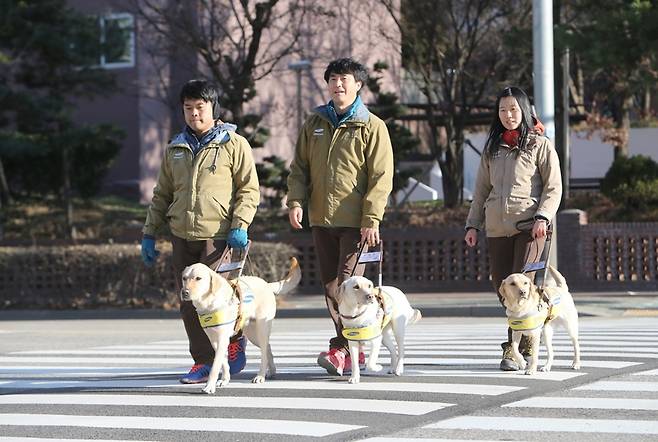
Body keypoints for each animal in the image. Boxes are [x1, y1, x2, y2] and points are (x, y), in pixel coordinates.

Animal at [181, 258, 302, 392]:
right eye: (184, 278)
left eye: (198, 278)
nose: (184, 292)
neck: (208, 303)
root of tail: (266, 283)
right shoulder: (214, 340)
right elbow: (224, 363)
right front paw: (225, 380)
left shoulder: (222, 339)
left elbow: (215, 366)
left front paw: (209, 386)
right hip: (253, 334)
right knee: (268, 348)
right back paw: (272, 371)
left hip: (261, 329)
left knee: (264, 353)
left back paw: (260, 376)